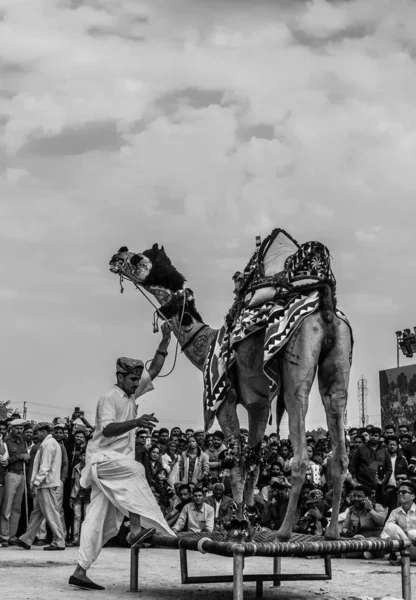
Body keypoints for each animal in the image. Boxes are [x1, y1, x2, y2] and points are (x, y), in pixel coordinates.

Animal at [109, 229, 352, 540]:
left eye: (138, 258)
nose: (117, 254)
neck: (205, 344)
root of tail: (326, 305)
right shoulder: (259, 404)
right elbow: (254, 460)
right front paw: (249, 521)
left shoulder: (223, 396)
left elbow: (236, 459)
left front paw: (237, 524)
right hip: (339, 367)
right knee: (339, 442)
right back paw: (332, 532)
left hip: (297, 371)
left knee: (300, 451)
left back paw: (283, 532)